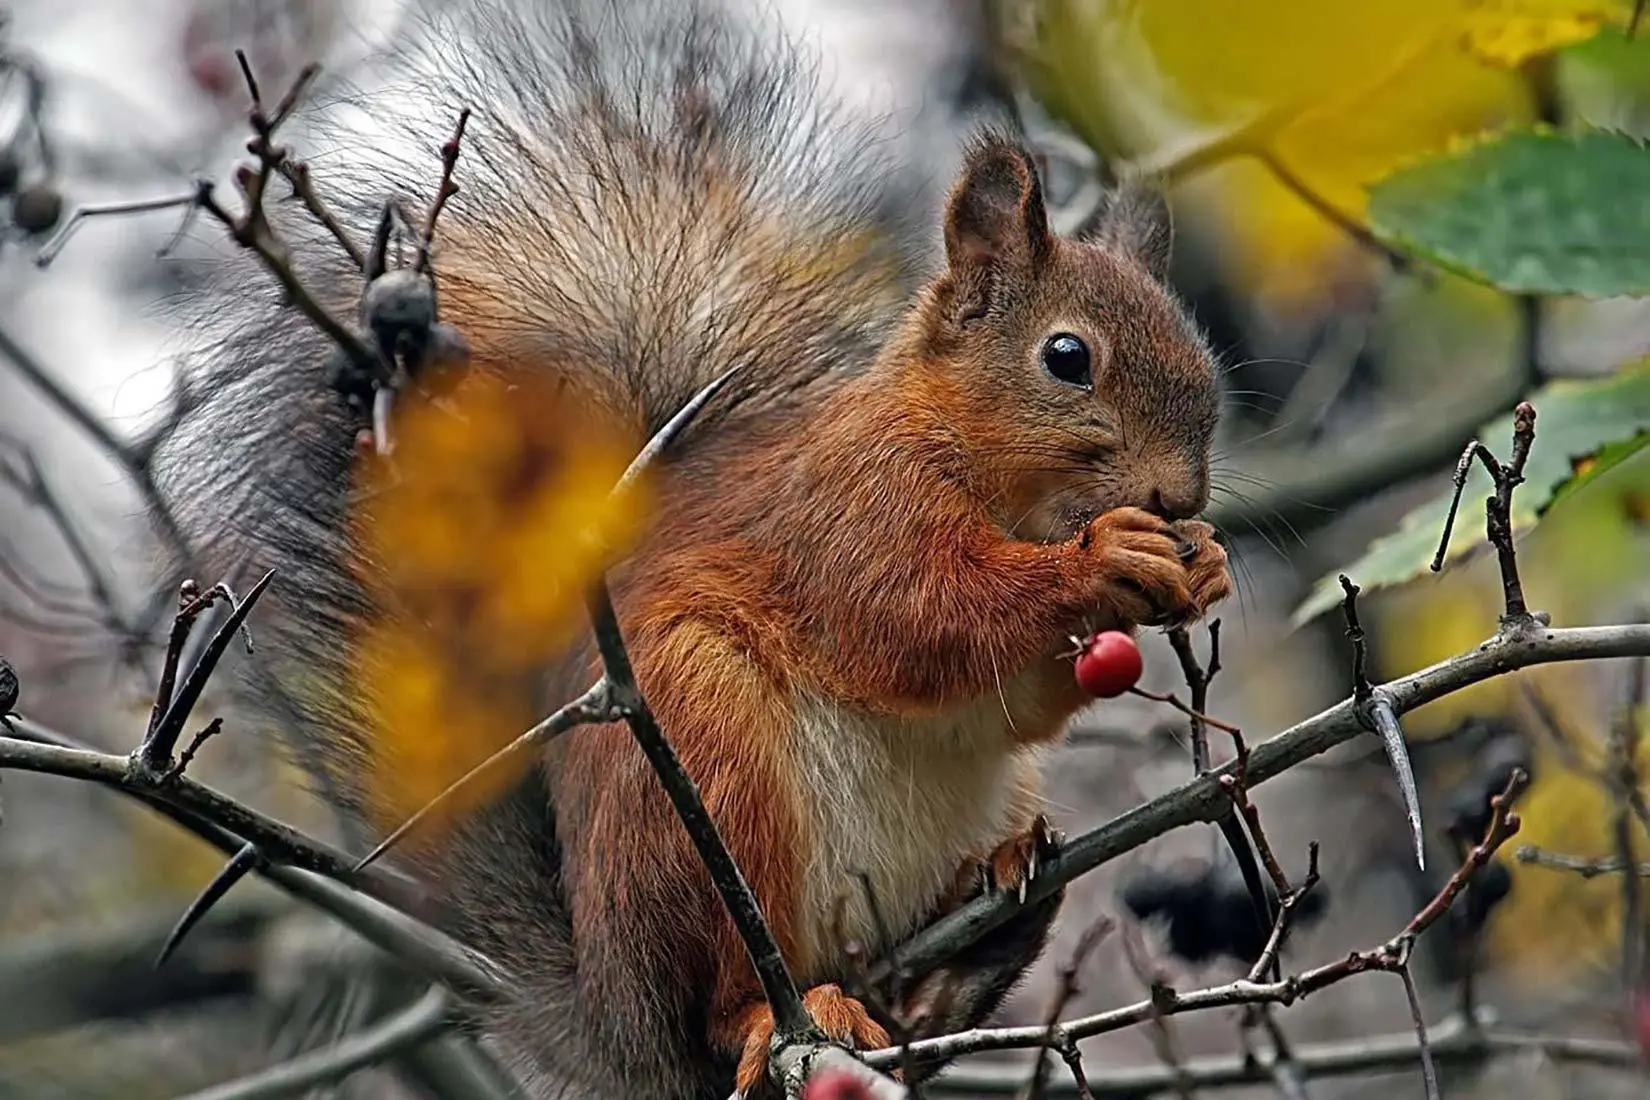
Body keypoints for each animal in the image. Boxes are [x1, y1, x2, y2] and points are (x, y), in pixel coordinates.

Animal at [157, 2, 1227, 1100]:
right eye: (1067, 357)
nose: (1180, 497)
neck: (982, 468)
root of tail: (615, 1020)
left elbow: (1014, 699)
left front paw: (1203, 563)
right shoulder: (848, 510)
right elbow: (921, 618)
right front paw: (1105, 559)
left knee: (909, 983)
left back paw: (977, 931)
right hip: (700, 763)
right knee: (721, 998)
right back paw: (792, 1008)